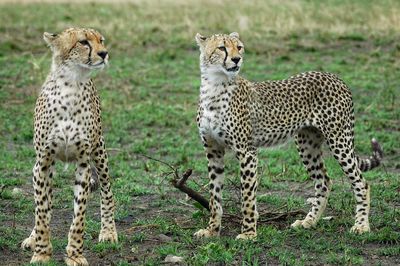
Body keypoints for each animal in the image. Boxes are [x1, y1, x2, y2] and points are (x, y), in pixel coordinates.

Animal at [20, 28, 117, 264]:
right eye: (83, 42)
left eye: (101, 40)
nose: (104, 53)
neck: (71, 84)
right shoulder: (43, 163)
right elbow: (42, 213)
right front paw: (41, 252)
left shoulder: (83, 164)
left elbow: (79, 217)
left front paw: (75, 255)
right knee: (44, 205)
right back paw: (32, 238)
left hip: (99, 151)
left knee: (107, 190)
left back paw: (108, 231)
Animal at [195, 32, 382, 240]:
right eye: (222, 48)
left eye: (239, 47)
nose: (237, 59)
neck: (214, 85)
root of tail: (334, 76)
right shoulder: (213, 150)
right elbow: (214, 195)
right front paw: (211, 230)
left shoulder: (247, 151)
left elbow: (248, 197)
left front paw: (249, 234)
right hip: (307, 144)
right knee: (324, 181)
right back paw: (309, 221)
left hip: (339, 139)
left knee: (361, 183)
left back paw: (361, 225)